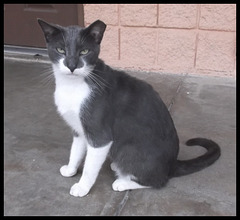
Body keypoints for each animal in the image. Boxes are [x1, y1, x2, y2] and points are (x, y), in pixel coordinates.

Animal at [38, 19, 221, 198]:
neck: (73, 85)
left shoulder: (100, 135)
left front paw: (82, 187)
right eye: (60, 49)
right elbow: (75, 150)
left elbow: (90, 166)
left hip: (129, 150)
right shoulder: (79, 129)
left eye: (84, 51)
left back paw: (123, 182)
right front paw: (70, 169)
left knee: (158, 181)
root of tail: (171, 164)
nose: (71, 65)